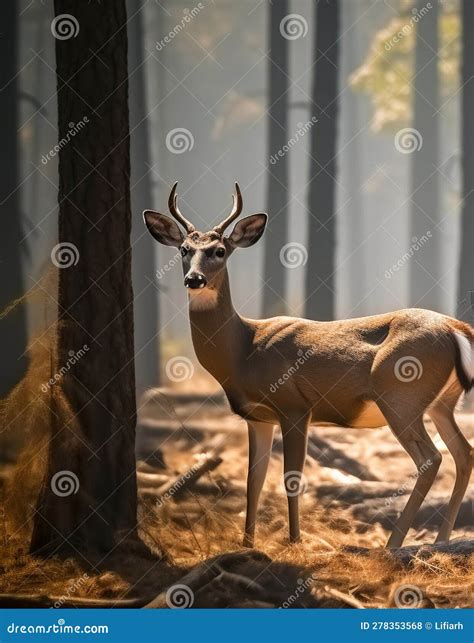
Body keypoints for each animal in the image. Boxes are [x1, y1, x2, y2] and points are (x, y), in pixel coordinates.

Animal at [144, 182, 473, 549]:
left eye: (219, 250)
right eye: (184, 249)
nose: (194, 279)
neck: (243, 350)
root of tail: (456, 328)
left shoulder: (294, 406)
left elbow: (291, 477)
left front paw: (294, 542)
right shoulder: (257, 417)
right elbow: (253, 481)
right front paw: (247, 544)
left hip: (401, 396)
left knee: (432, 459)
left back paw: (393, 545)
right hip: (441, 403)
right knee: (464, 453)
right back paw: (441, 540)